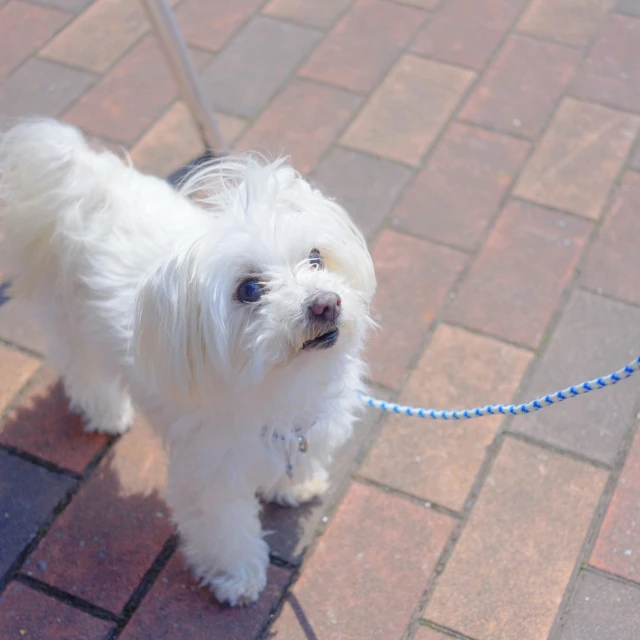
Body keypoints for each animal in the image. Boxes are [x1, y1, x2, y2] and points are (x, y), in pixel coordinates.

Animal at [0, 119, 376, 604]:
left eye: (315, 258)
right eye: (249, 289)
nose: (326, 303)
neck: (283, 383)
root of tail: (88, 180)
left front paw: (296, 484)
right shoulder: (211, 475)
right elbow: (227, 530)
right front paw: (238, 578)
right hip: (73, 321)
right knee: (83, 370)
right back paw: (107, 413)